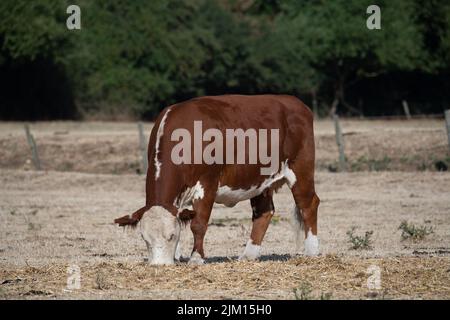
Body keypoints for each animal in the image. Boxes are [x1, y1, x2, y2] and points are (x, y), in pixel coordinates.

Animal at [116, 94, 320, 264]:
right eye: (145, 238)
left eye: (171, 236)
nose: (159, 265)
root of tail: (294, 102)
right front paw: (178, 256)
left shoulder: (208, 184)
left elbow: (198, 224)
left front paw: (196, 258)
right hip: (260, 180)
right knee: (264, 212)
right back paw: (249, 255)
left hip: (301, 169)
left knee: (308, 205)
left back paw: (312, 251)